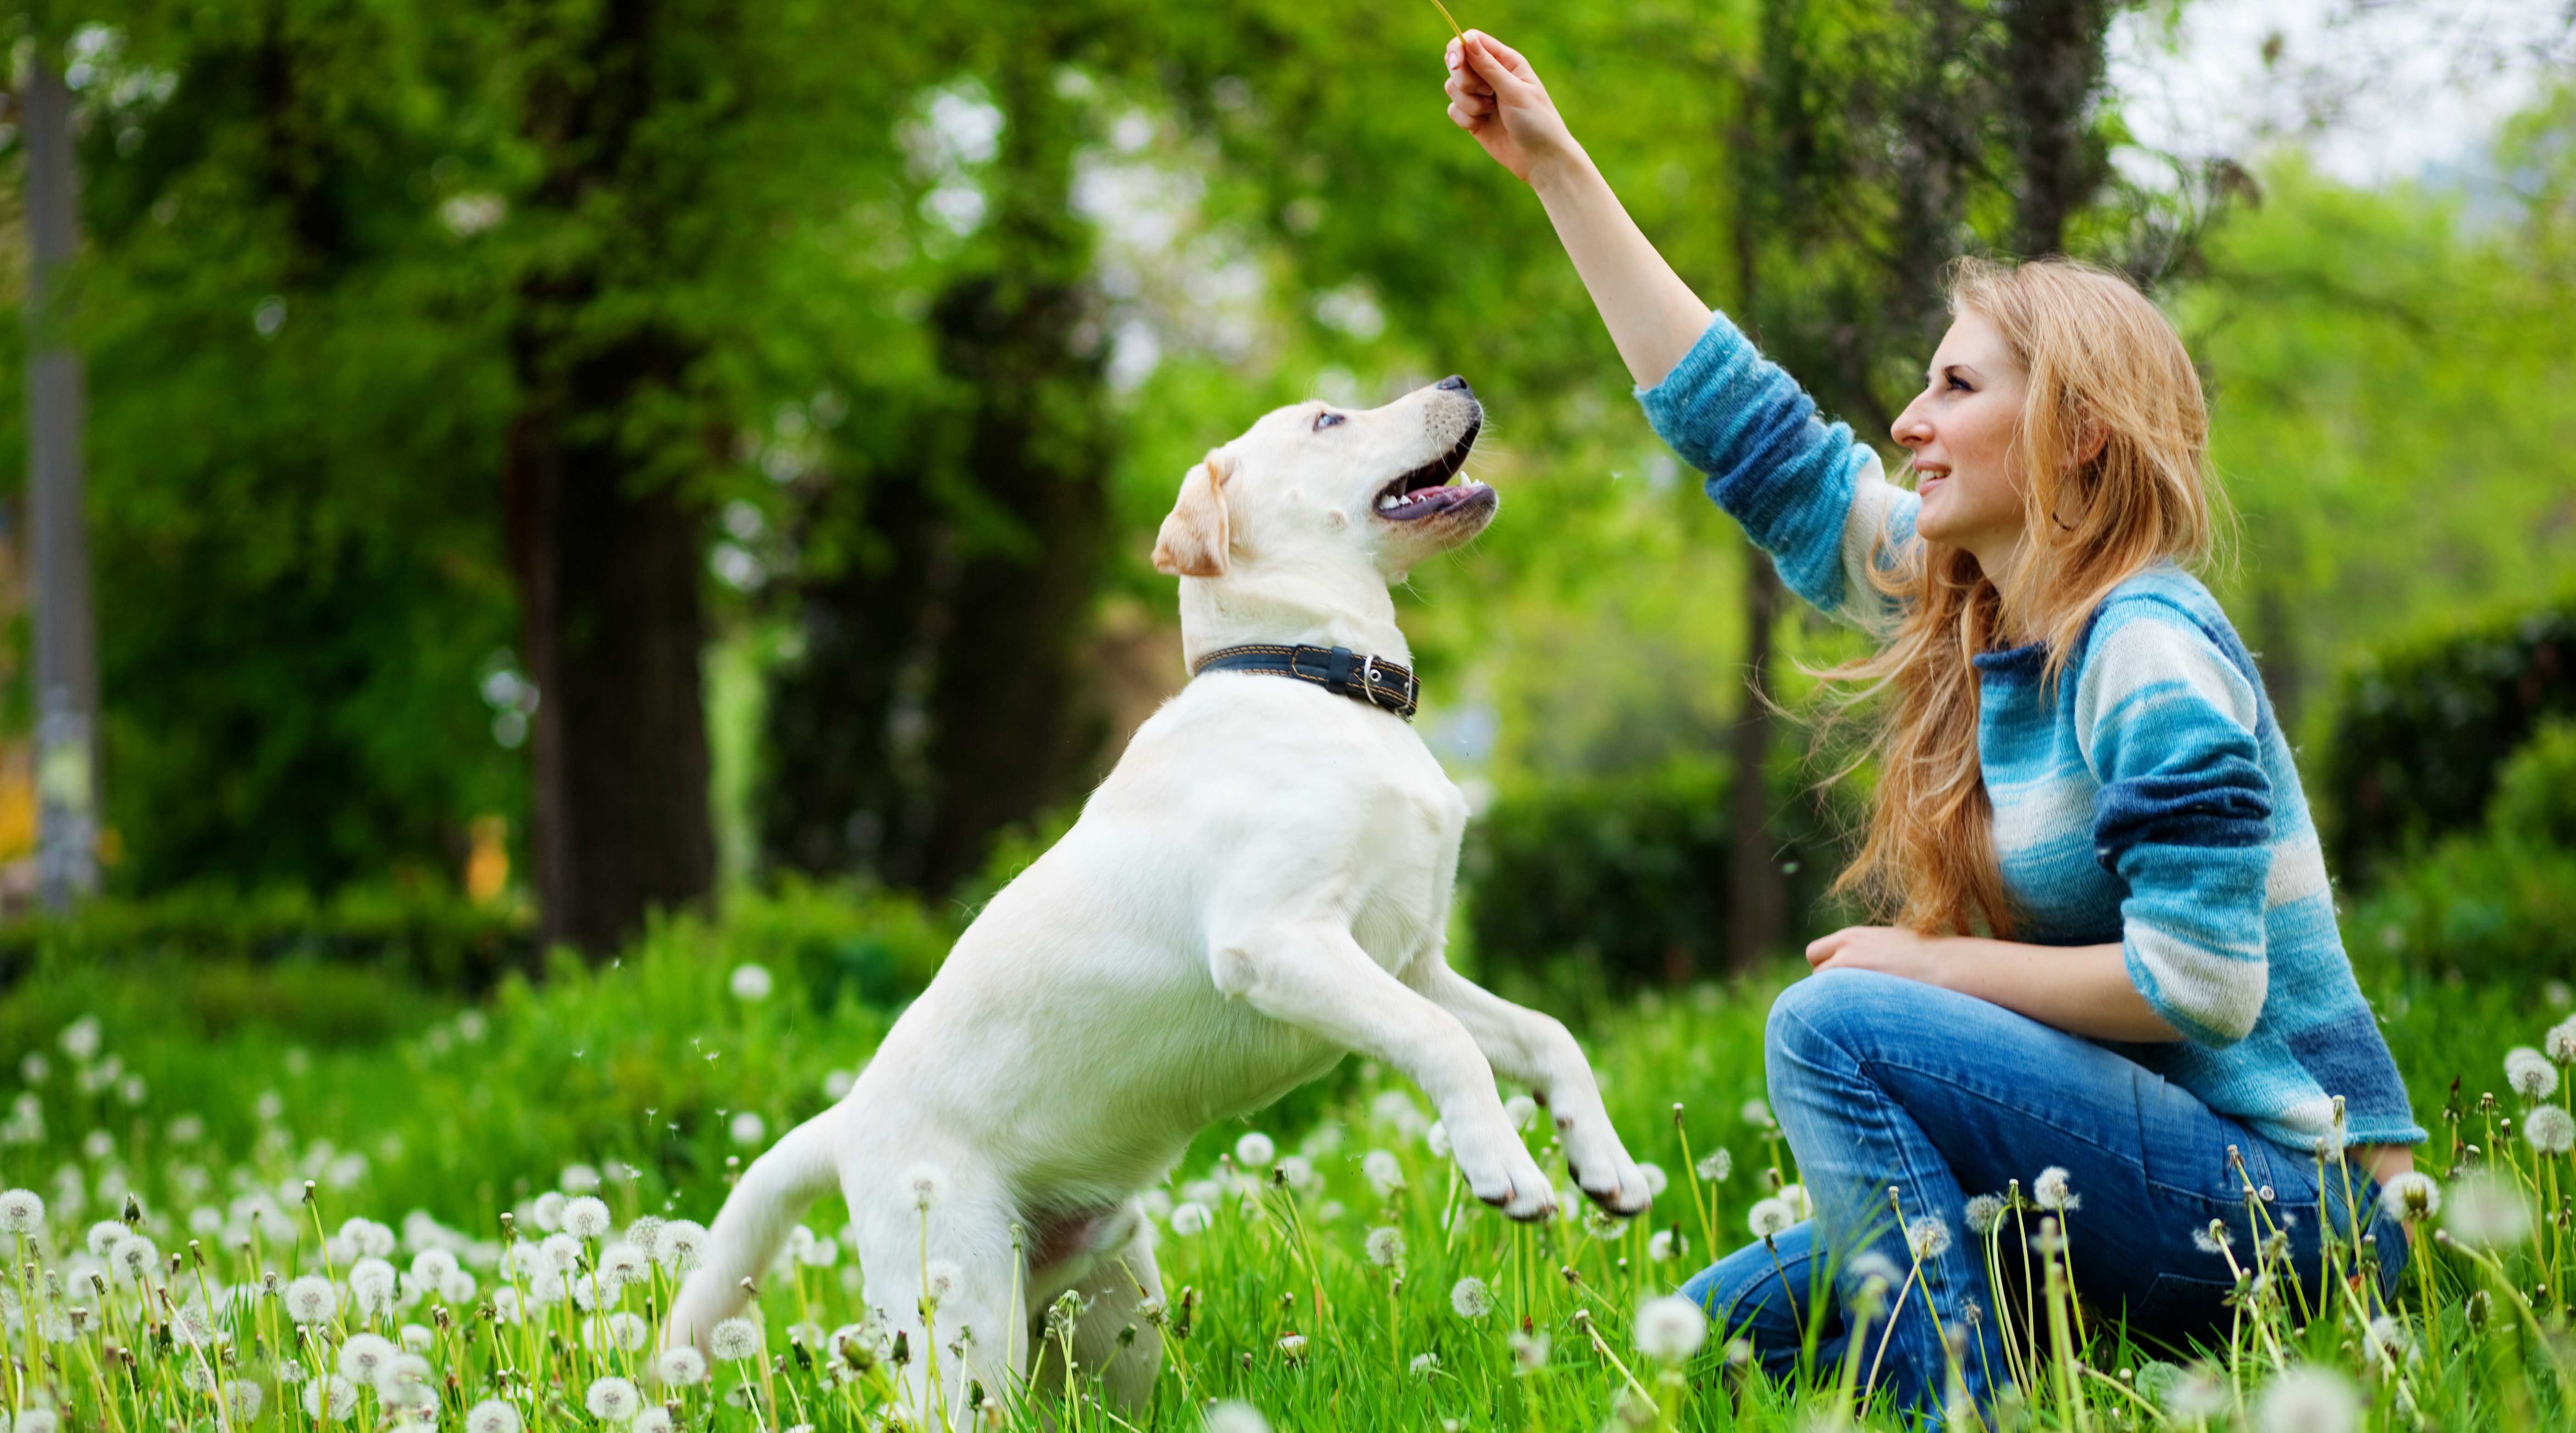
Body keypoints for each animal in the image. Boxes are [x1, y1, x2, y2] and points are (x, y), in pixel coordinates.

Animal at [670, 376, 1649, 1412]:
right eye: (1327, 420)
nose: (1458, 383)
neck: (1316, 680)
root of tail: (848, 1118)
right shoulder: (1280, 941)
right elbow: (1446, 1043)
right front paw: (1505, 1164)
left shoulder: (1409, 960)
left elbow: (1546, 1033)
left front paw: (1603, 1161)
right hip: (964, 1330)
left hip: (1110, 1319)